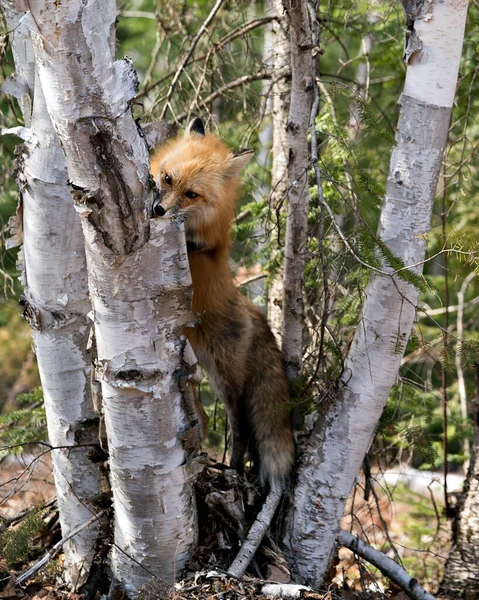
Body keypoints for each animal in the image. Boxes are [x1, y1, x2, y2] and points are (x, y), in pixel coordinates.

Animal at [150, 118, 294, 488]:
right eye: (167, 178)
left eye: (192, 194)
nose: (158, 210)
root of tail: (251, 307)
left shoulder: (207, 245)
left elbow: (198, 245)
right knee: (205, 415)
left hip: (225, 379)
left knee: (240, 427)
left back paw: (233, 469)